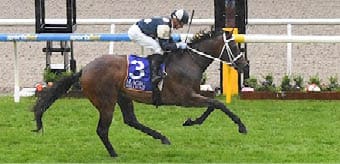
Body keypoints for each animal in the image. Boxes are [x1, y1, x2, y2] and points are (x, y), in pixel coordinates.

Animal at [32, 30, 247, 157]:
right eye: (234, 46)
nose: (244, 65)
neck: (190, 61)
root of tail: (84, 70)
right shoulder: (186, 98)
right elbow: (218, 104)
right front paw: (241, 126)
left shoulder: (195, 93)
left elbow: (213, 104)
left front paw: (192, 121)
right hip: (106, 101)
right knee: (102, 129)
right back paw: (114, 153)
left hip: (123, 96)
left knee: (130, 120)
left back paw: (162, 138)